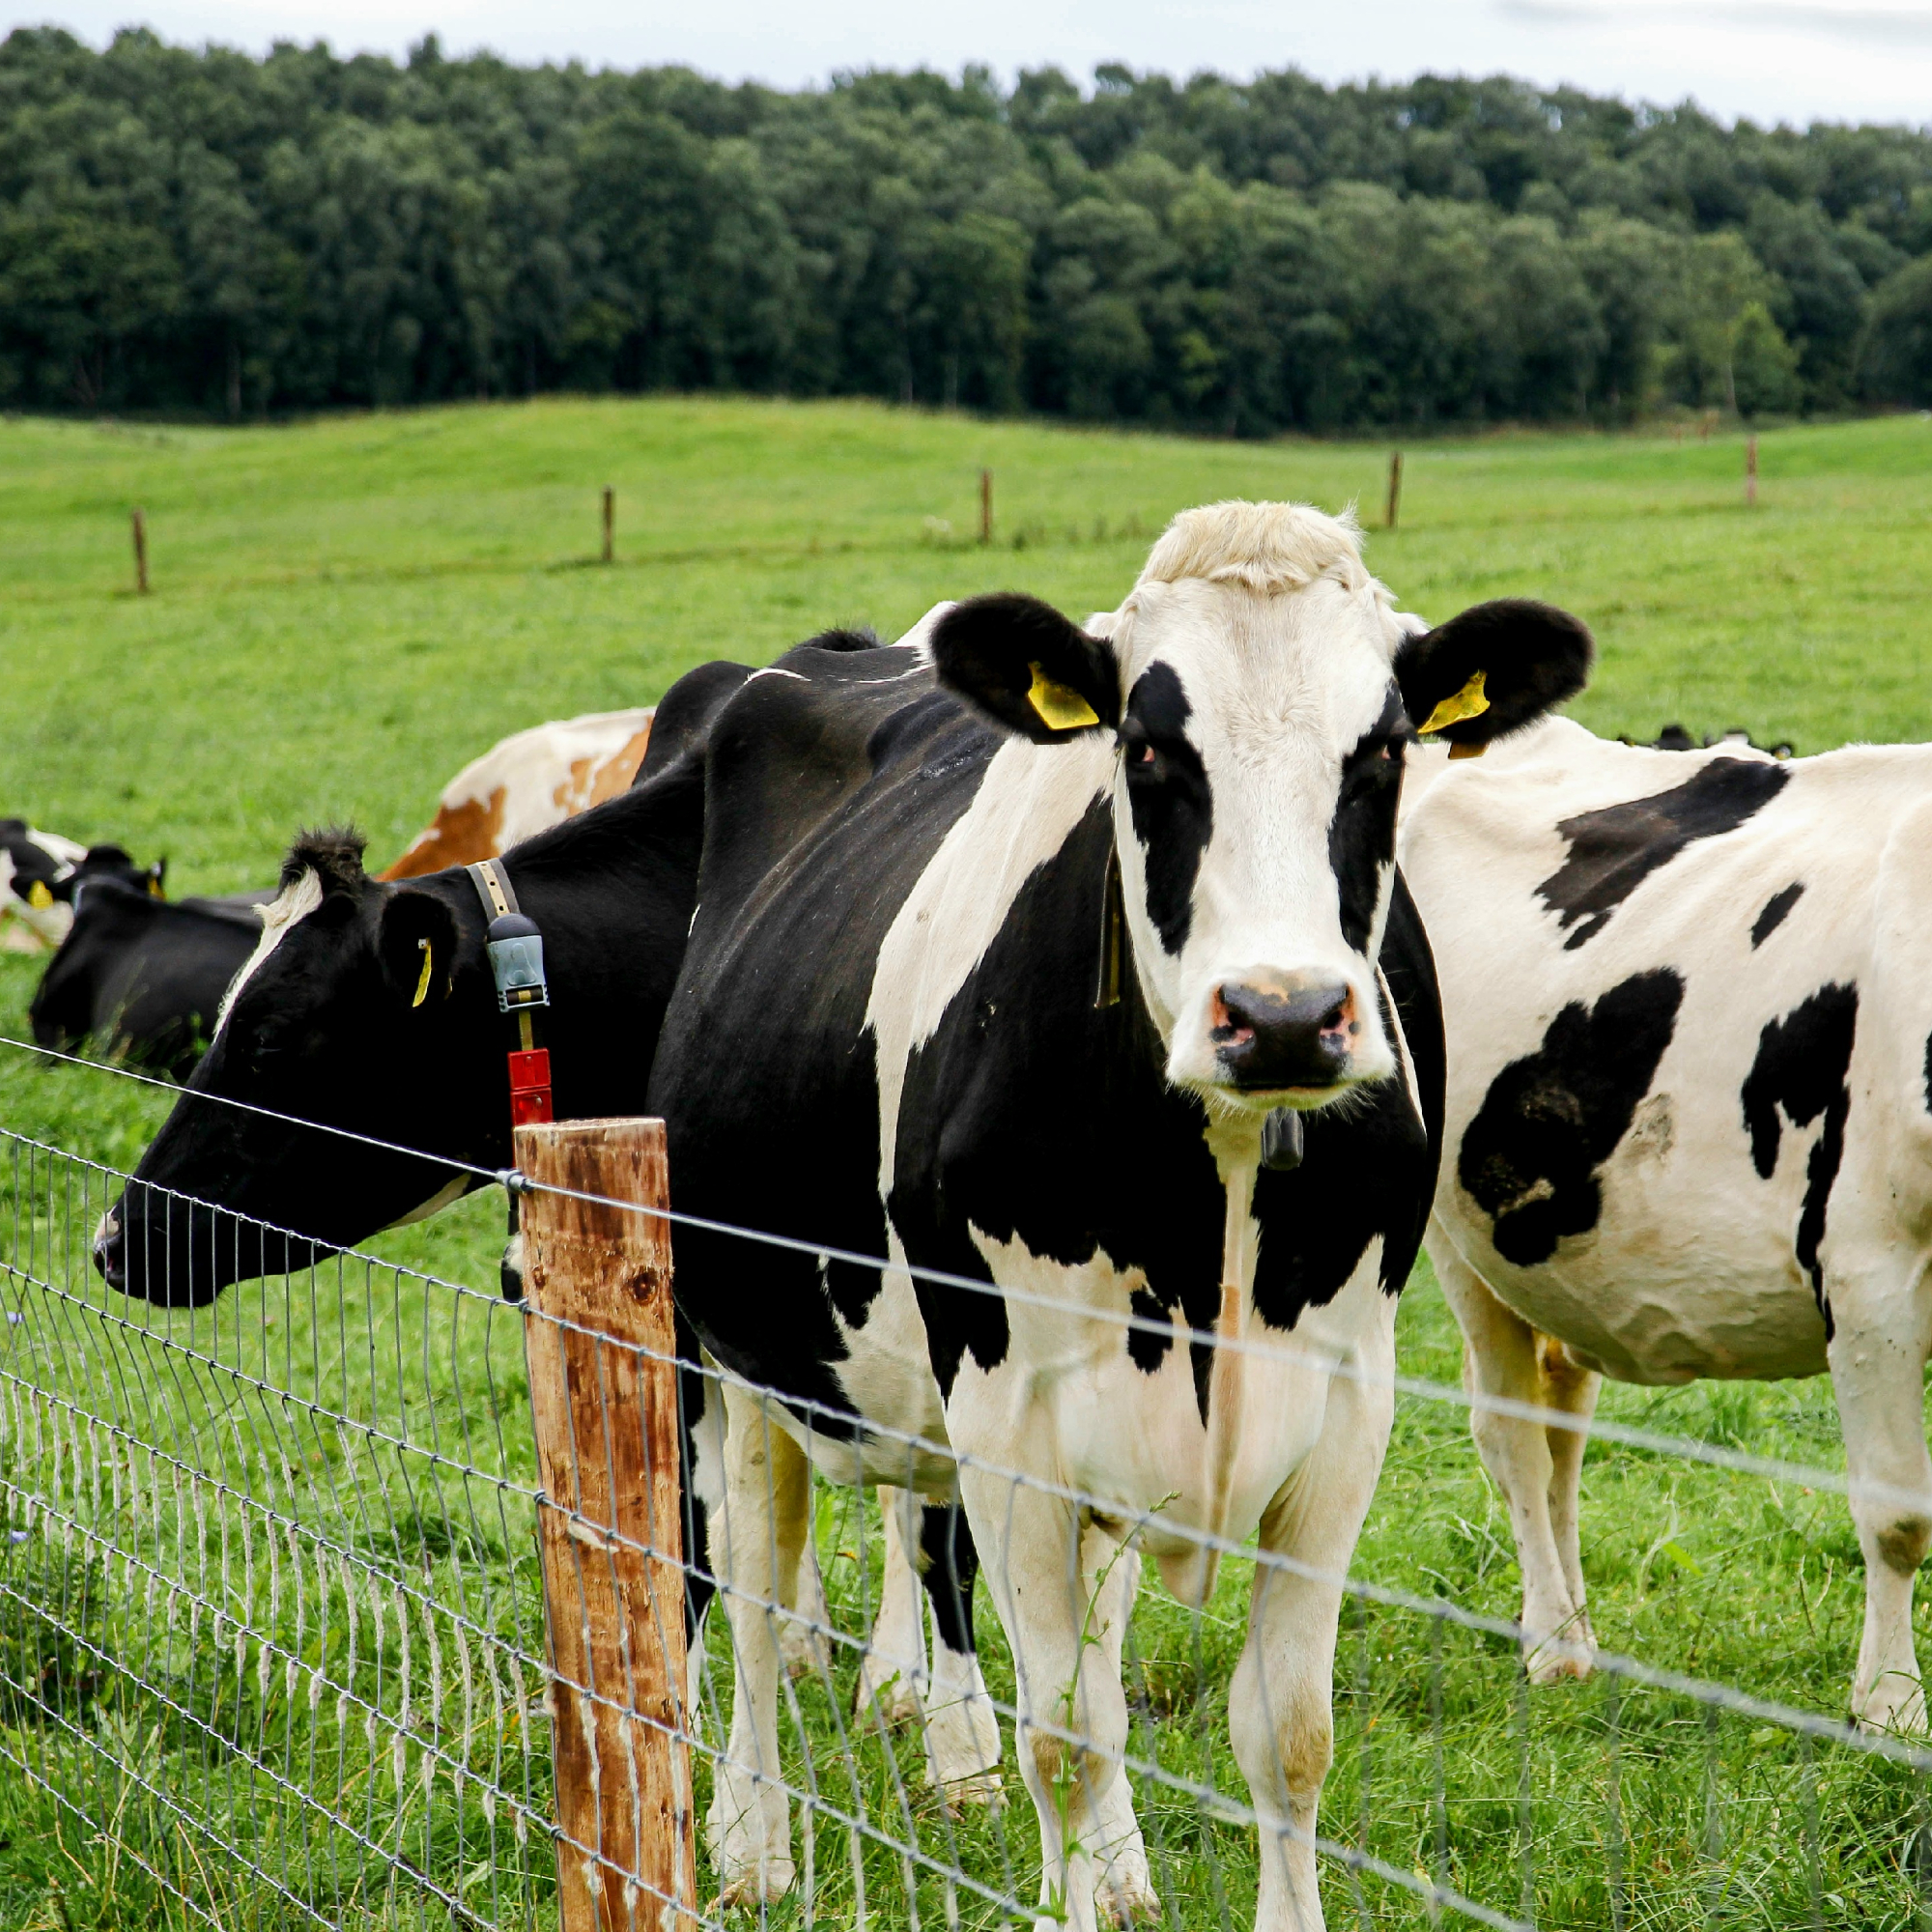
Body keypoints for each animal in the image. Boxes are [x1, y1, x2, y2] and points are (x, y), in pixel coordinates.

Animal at [645, 502, 1591, 1930]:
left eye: (1379, 749)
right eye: (1147, 746)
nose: (1281, 1015)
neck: (1218, 1195)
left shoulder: (1345, 1408)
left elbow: (1283, 1733)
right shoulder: (1008, 1417)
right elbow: (1064, 1736)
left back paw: (1112, 1872)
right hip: (733, 1340)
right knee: (750, 1584)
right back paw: (753, 1843)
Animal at [1399, 713, 1932, 1732]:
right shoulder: (1870, 1270)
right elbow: (1897, 1515)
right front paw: (1891, 1710)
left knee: (1560, 1424)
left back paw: (1577, 1631)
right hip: (1455, 1232)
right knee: (1510, 1431)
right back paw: (1552, 1645)